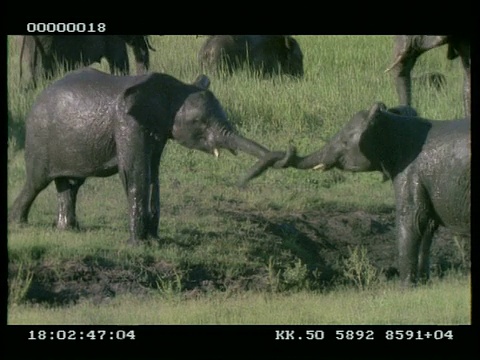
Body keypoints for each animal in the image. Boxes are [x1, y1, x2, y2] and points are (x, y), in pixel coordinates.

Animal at [8, 68, 292, 245]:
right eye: (199, 122)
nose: (288, 153)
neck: (172, 89)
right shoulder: (127, 124)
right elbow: (135, 173)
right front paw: (136, 243)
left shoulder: (157, 128)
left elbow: (153, 174)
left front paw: (155, 241)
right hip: (39, 140)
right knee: (36, 182)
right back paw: (17, 222)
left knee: (71, 184)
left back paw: (68, 229)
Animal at [240, 102, 468, 286]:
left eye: (343, 142)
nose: (241, 183)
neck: (393, 122)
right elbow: (427, 226)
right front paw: (423, 284)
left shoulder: (410, 173)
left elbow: (412, 219)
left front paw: (404, 288)